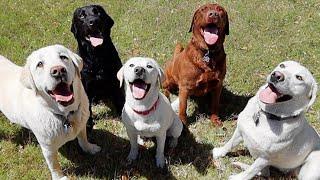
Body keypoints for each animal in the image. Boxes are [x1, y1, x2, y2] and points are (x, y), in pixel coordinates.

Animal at [0, 44, 101, 179]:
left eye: (63, 57)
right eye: (40, 64)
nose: (58, 70)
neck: (65, 115)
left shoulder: (81, 125)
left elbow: (83, 139)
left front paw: (89, 148)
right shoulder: (48, 148)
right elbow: (54, 165)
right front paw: (60, 177)